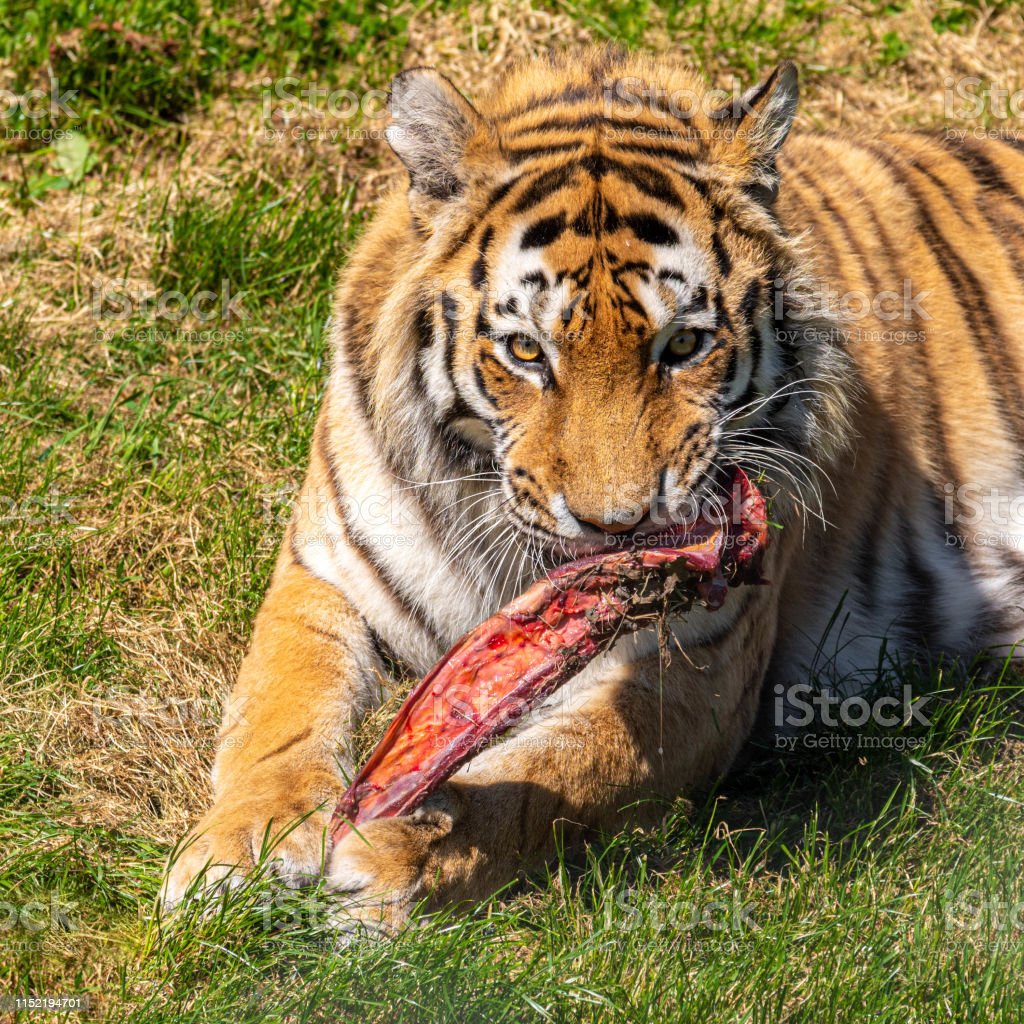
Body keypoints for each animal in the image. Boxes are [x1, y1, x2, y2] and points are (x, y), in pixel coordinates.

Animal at [163, 46, 1024, 929]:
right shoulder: (325, 571)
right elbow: (278, 710)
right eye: (525, 351)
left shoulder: (696, 671)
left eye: (683, 345)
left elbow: (560, 771)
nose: (618, 527)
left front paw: (400, 853)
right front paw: (240, 851)